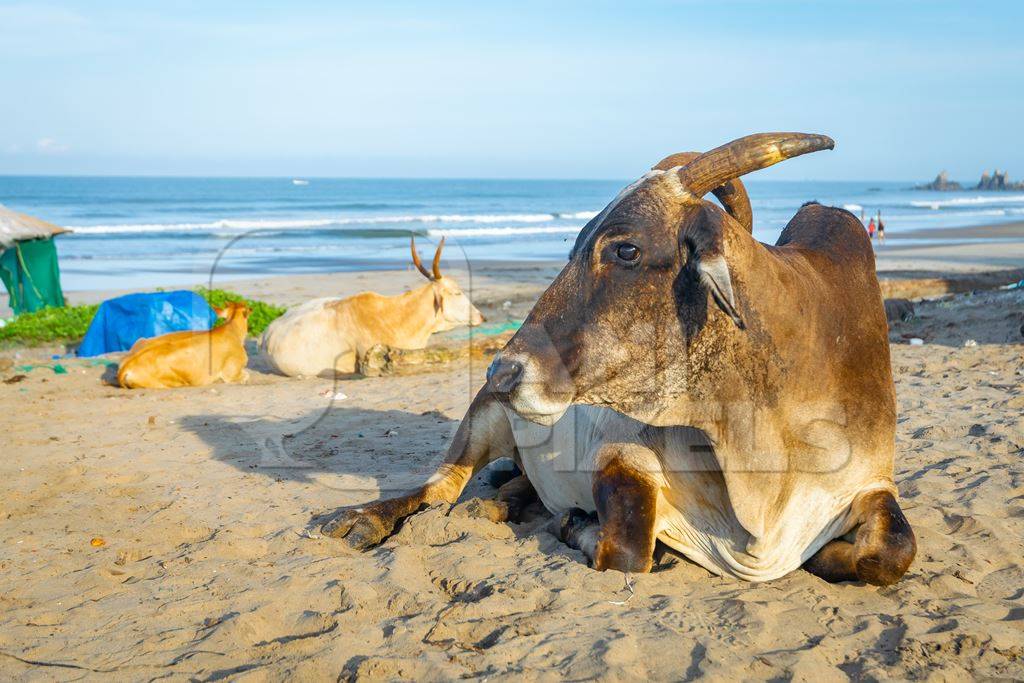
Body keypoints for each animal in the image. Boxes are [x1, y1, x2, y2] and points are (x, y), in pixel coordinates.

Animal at [323, 135, 917, 589]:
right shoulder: (622, 457)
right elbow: (630, 552)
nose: (502, 372)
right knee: (441, 488)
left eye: (625, 249)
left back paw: (491, 507)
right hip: (482, 419)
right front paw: (577, 524)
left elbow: (892, 553)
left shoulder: (871, 481)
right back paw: (363, 520)